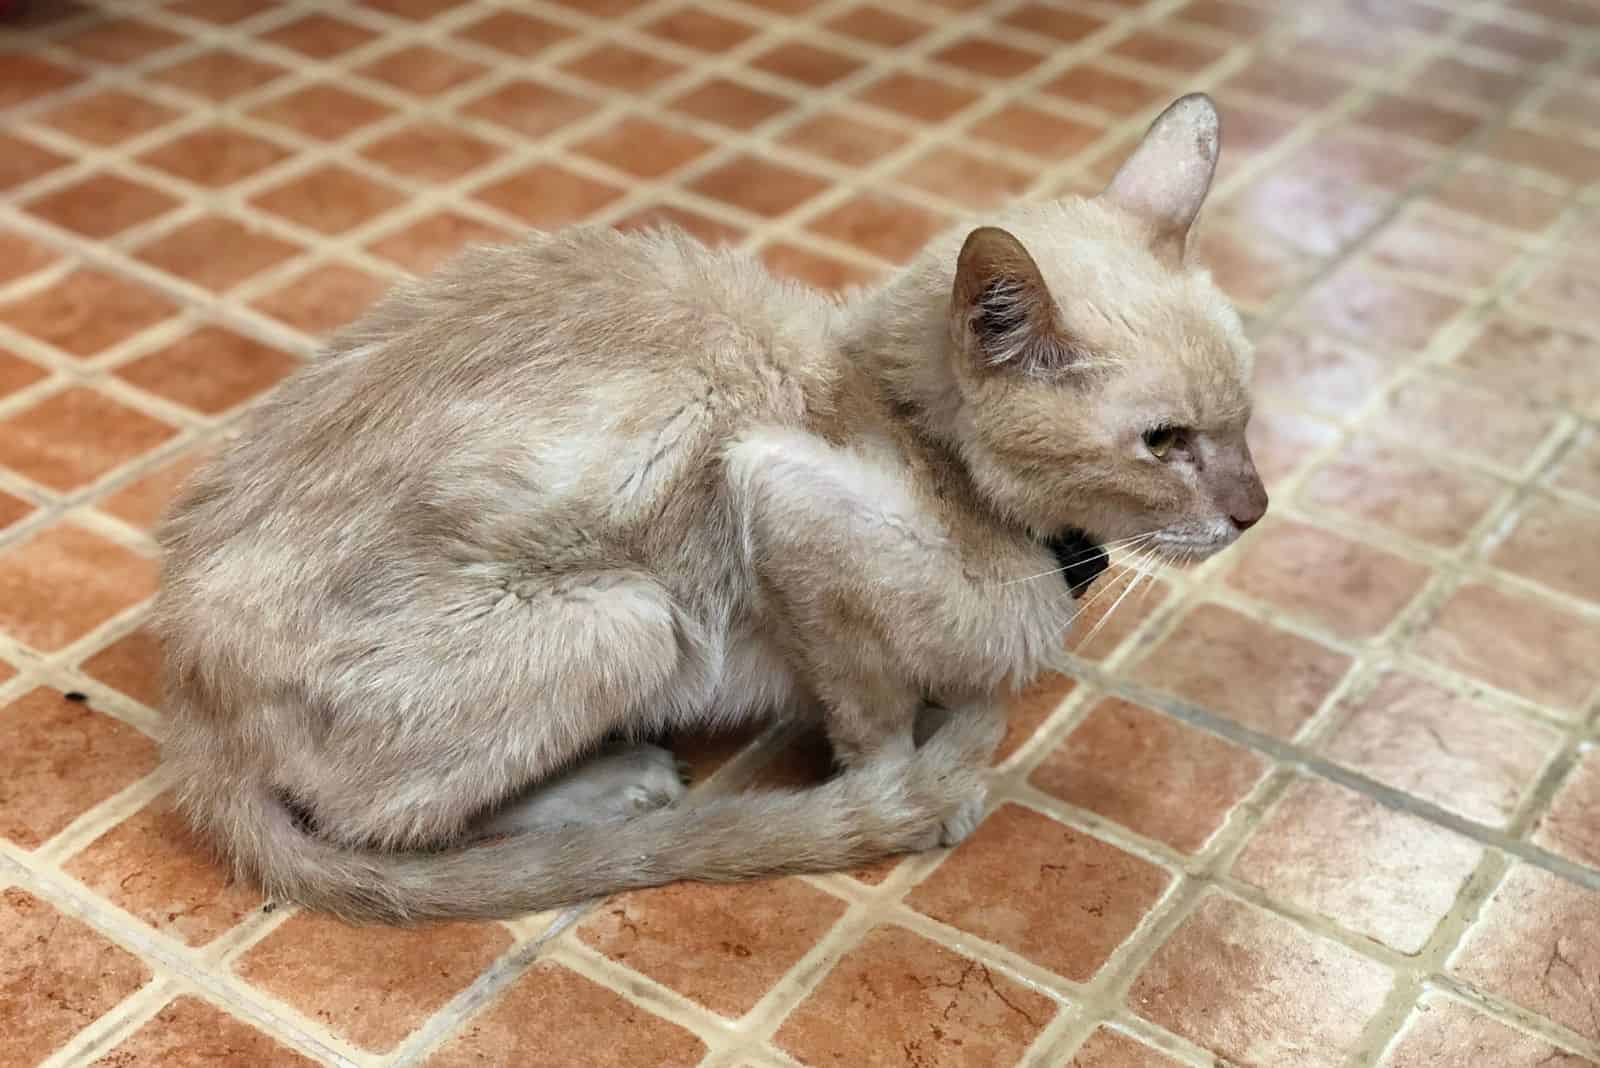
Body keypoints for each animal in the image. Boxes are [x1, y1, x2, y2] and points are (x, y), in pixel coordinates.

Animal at [156, 95, 1267, 920]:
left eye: (1247, 412)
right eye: (1163, 442)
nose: (1252, 511)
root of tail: (190, 703)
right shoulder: (776, 493)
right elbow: (869, 714)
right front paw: (906, 790)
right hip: (629, 616)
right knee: (391, 827)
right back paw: (616, 788)